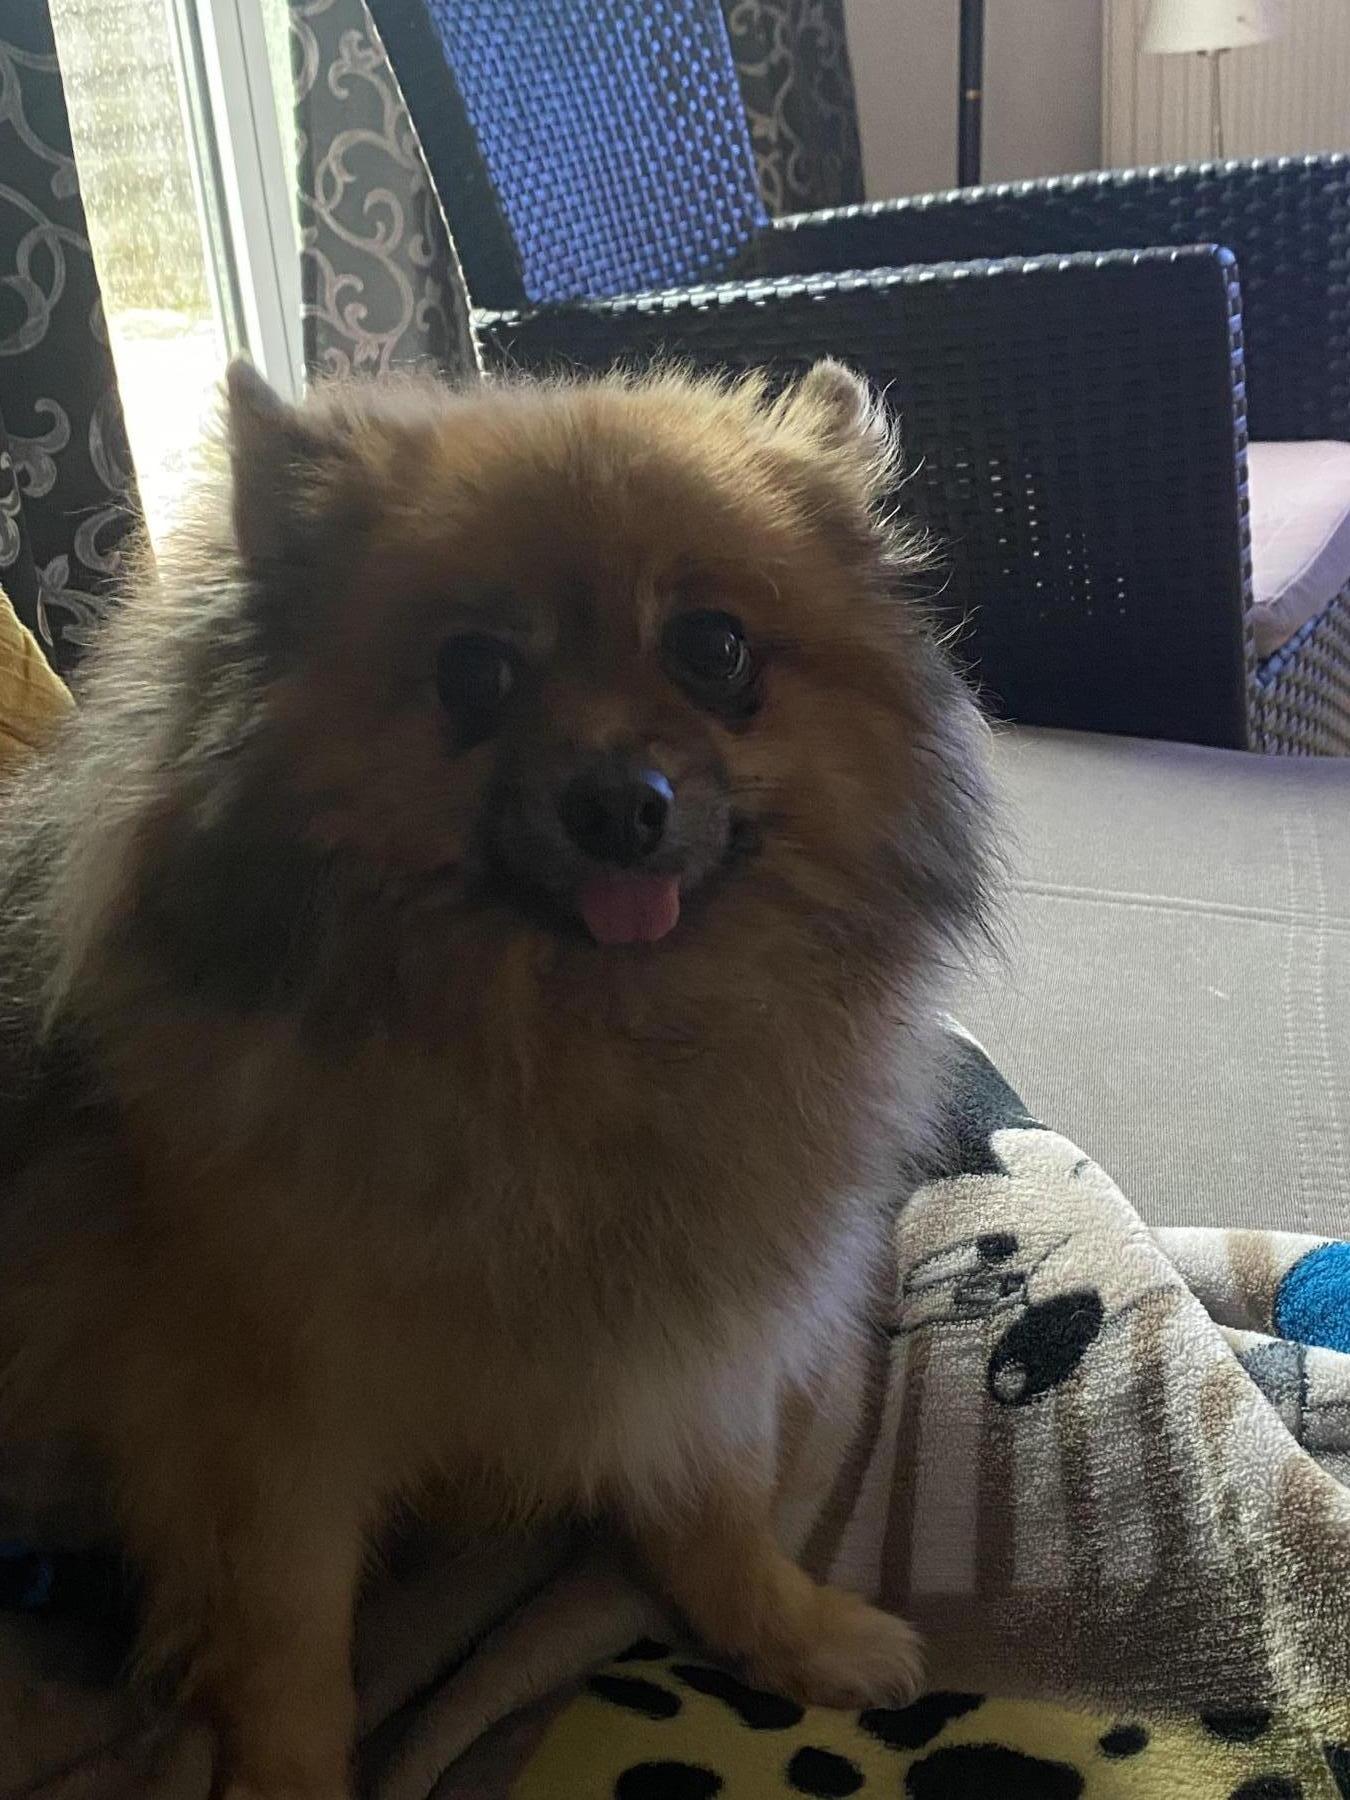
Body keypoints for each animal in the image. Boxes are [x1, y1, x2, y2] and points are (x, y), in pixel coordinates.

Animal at [0, 360, 992, 1797]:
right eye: (474, 672)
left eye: (714, 650)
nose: (621, 802)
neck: (576, 1053)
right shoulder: (259, 1436)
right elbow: (292, 1654)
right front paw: (289, 1784)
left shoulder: (690, 1343)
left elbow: (718, 1504)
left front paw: (786, 1632)